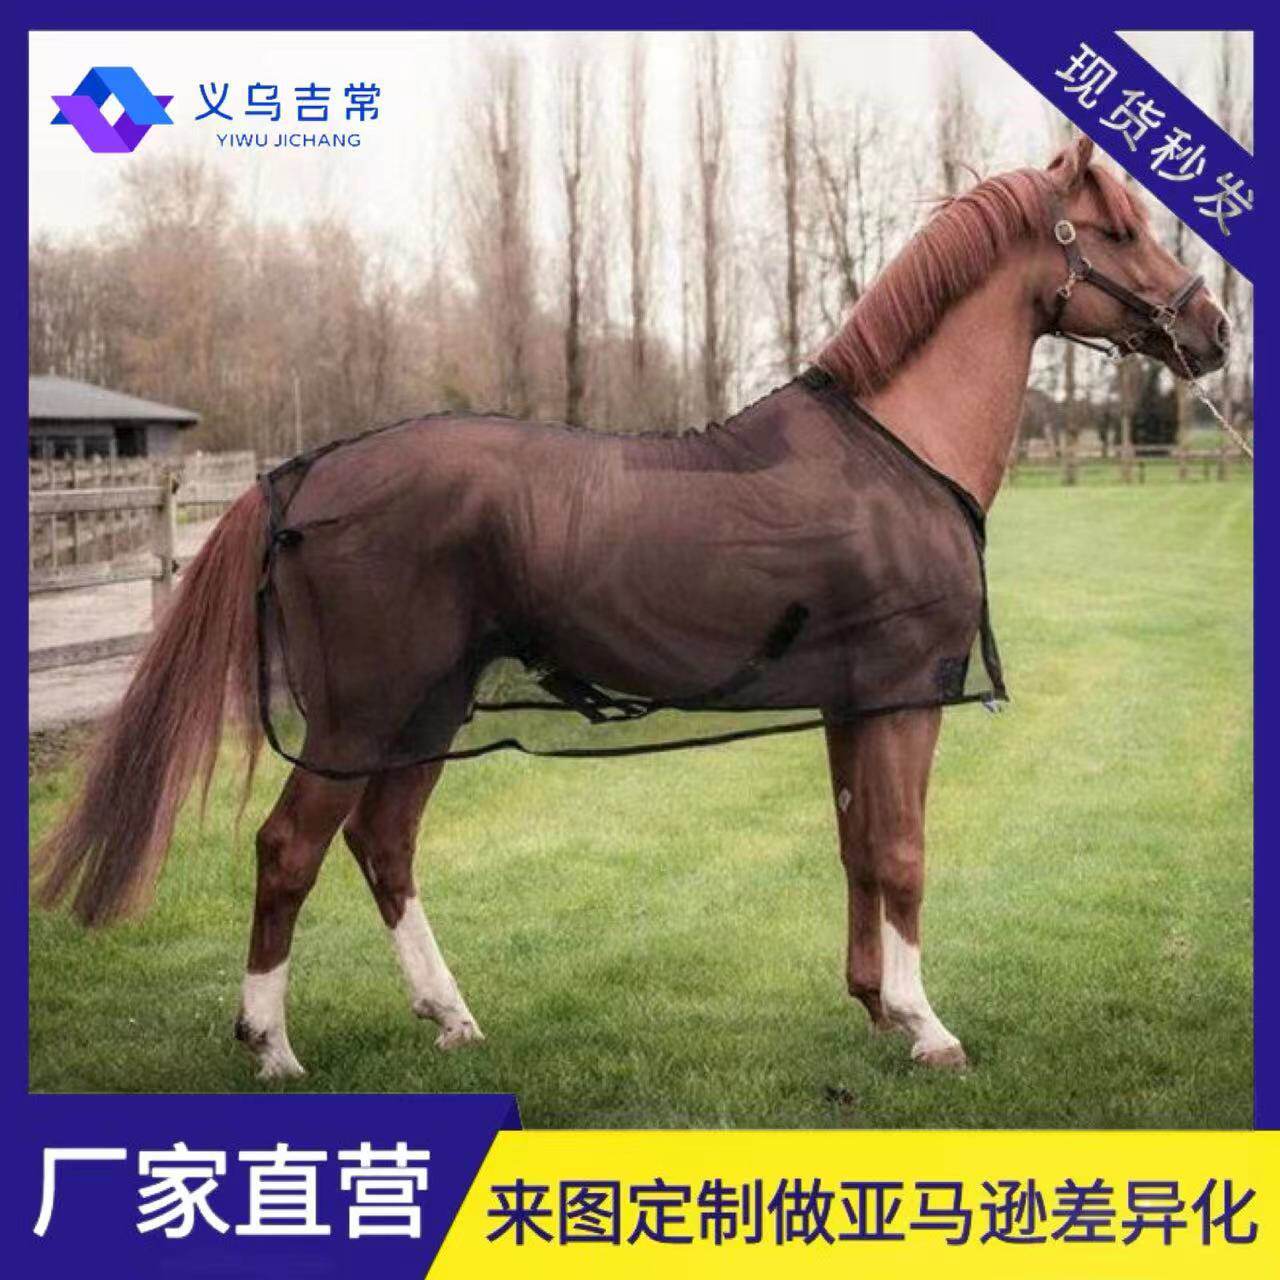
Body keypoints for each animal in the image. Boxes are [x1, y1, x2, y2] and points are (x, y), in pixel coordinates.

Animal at [34, 136, 1230, 1079]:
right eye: (1118, 229)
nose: (1213, 329)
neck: (898, 450)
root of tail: (304, 471)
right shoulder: (903, 698)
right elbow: (900, 852)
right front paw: (926, 1026)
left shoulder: (852, 706)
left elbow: (856, 845)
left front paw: (875, 1008)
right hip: (362, 715)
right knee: (290, 848)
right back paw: (273, 1045)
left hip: (427, 710)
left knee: (384, 844)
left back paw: (449, 1017)